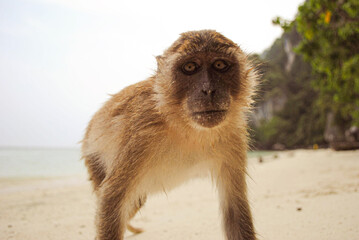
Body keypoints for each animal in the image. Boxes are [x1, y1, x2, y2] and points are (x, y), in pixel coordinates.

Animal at [82, 30, 258, 240]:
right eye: (190, 67)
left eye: (220, 65)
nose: (209, 90)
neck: (187, 128)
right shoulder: (142, 131)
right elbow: (111, 198)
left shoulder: (234, 135)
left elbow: (235, 210)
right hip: (94, 158)